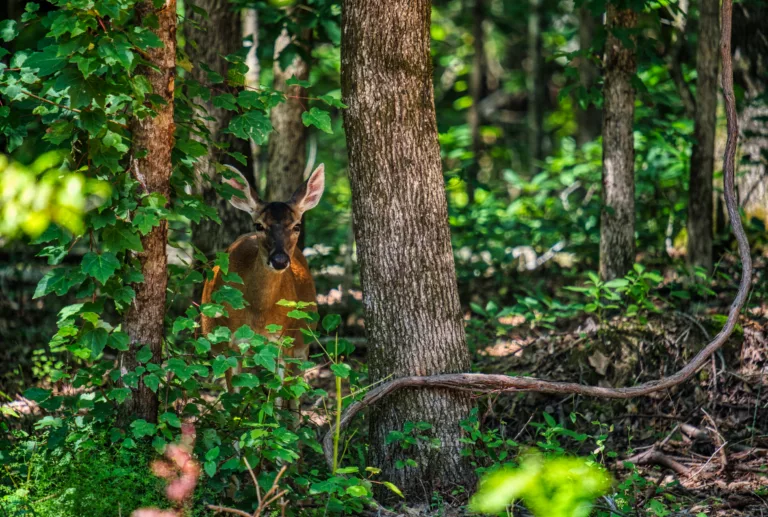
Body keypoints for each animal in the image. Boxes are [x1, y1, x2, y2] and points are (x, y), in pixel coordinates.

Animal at [201, 163, 325, 415]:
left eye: (297, 226)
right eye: (259, 225)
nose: (279, 260)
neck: (258, 313)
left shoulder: (282, 340)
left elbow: (276, 398)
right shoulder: (229, 344)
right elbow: (235, 398)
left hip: (303, 338)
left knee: (295, 392)